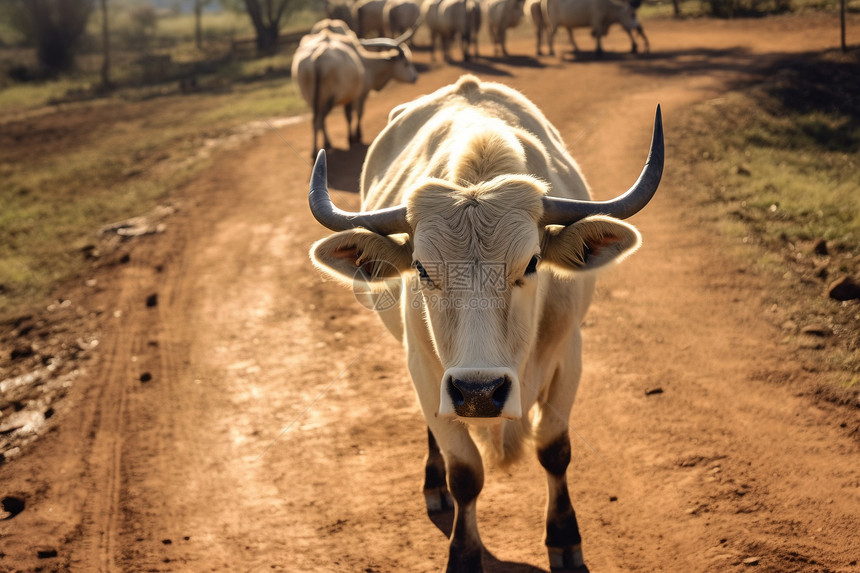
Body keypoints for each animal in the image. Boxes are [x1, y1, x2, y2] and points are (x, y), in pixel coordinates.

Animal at [292, 27, 420, 154]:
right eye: (406, 63)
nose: (415, 77)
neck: (365, 63)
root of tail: (317, 57)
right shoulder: (359, 95)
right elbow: (357, 113)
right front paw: (355, 136)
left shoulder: (349, 98)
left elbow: (349, 116)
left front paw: (351, 137)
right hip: (330, 99)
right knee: (319, 119)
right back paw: (317, 150)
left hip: (314, 100)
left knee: (317, 120)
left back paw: (325, 145)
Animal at [310, 75, 664, 572]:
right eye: (421, 269)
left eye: (531, 263)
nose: (478, 392)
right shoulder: (425, 370)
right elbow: (465, 472)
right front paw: (462, 553)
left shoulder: (569, 355)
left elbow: (554, 450)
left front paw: (565, 538)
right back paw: (434, 482)